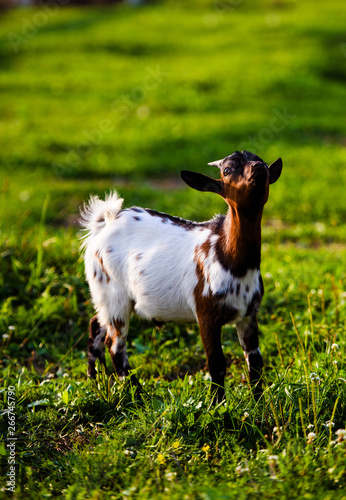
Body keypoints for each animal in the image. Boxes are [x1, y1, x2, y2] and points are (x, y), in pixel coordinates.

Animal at [79, 150, 282, 400]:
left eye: (262, 161)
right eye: (227, 170)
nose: (258, 168)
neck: (233, 262)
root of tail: (104, 222)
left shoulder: (249, 314)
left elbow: (255, 361)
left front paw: (259, 401)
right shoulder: (206, 314)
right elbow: (217, 363)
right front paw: (218, 405)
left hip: (103, 295)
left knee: (96, 325)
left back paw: (95, 380)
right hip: (114, 292)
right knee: (115, 342)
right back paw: (138, 393)